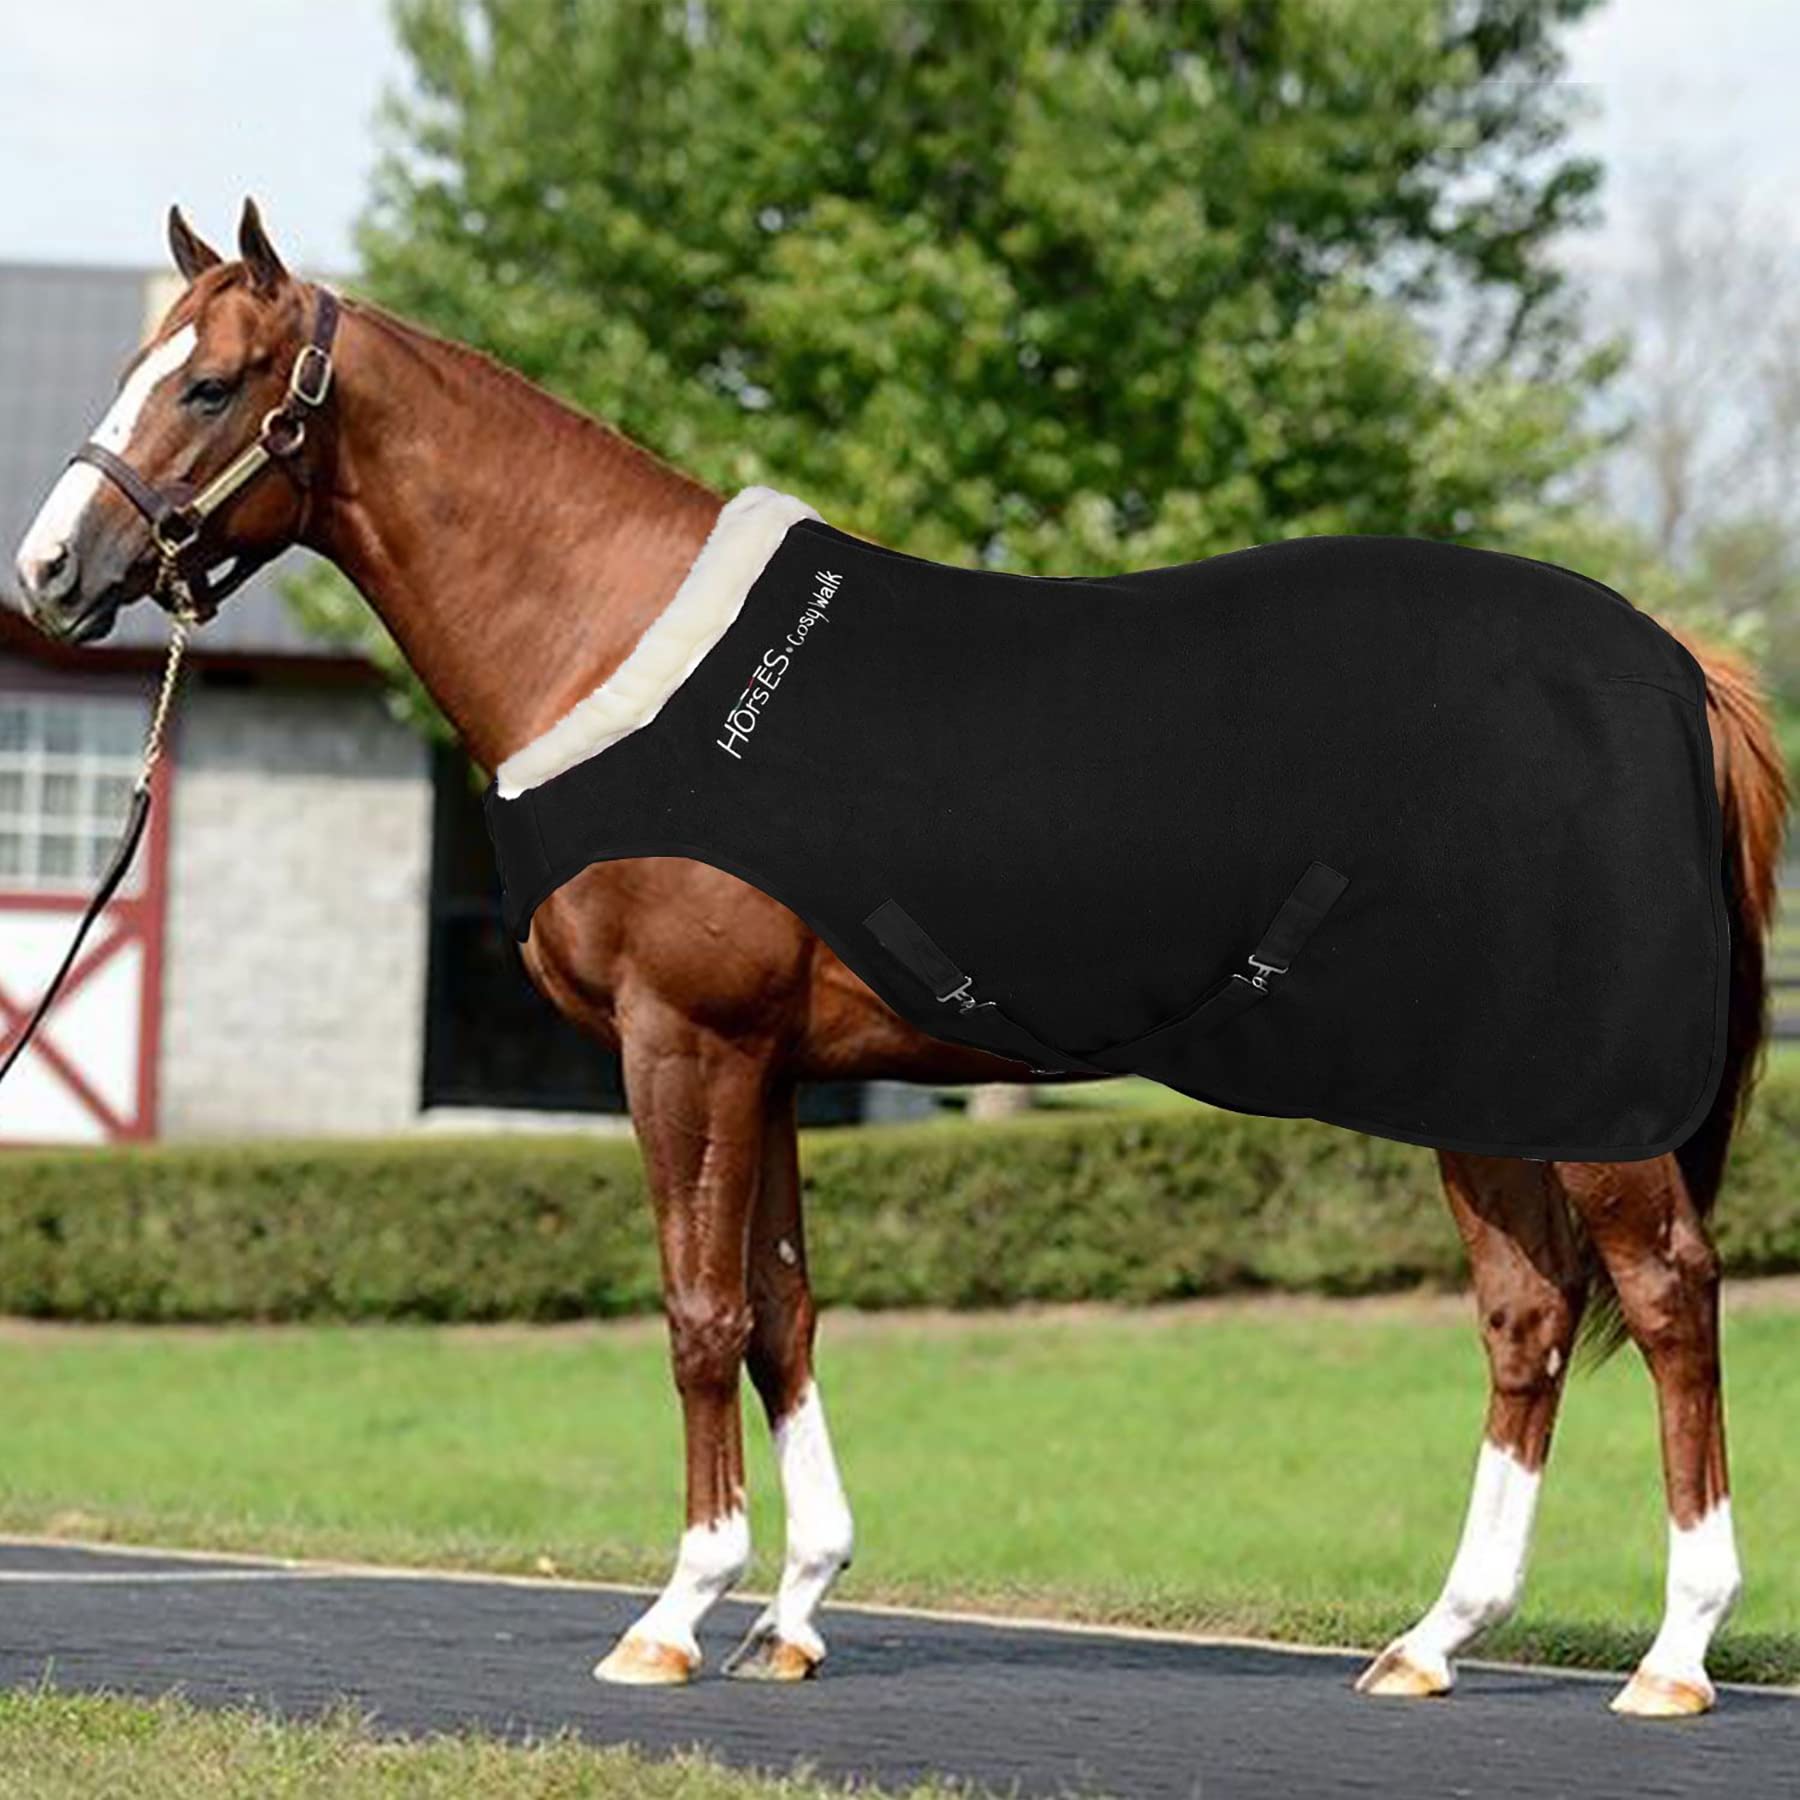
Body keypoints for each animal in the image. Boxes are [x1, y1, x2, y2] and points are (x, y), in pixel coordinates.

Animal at [12, 202, 1785, 1716]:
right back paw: (1435, 1639)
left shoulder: (685, 1042)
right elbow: (785, 1312)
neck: (615, 634)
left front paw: (677, 1614)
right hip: (1476, 1089)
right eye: (139, 368)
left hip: (1577, 1094)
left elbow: (698, 1312)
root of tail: (1668, 664)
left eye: (214, 383)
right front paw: (795, 1613)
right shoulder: (773, 1064)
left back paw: (1676, 1653)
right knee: (1528, 1313)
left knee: (1668, 1294)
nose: (47, 574)